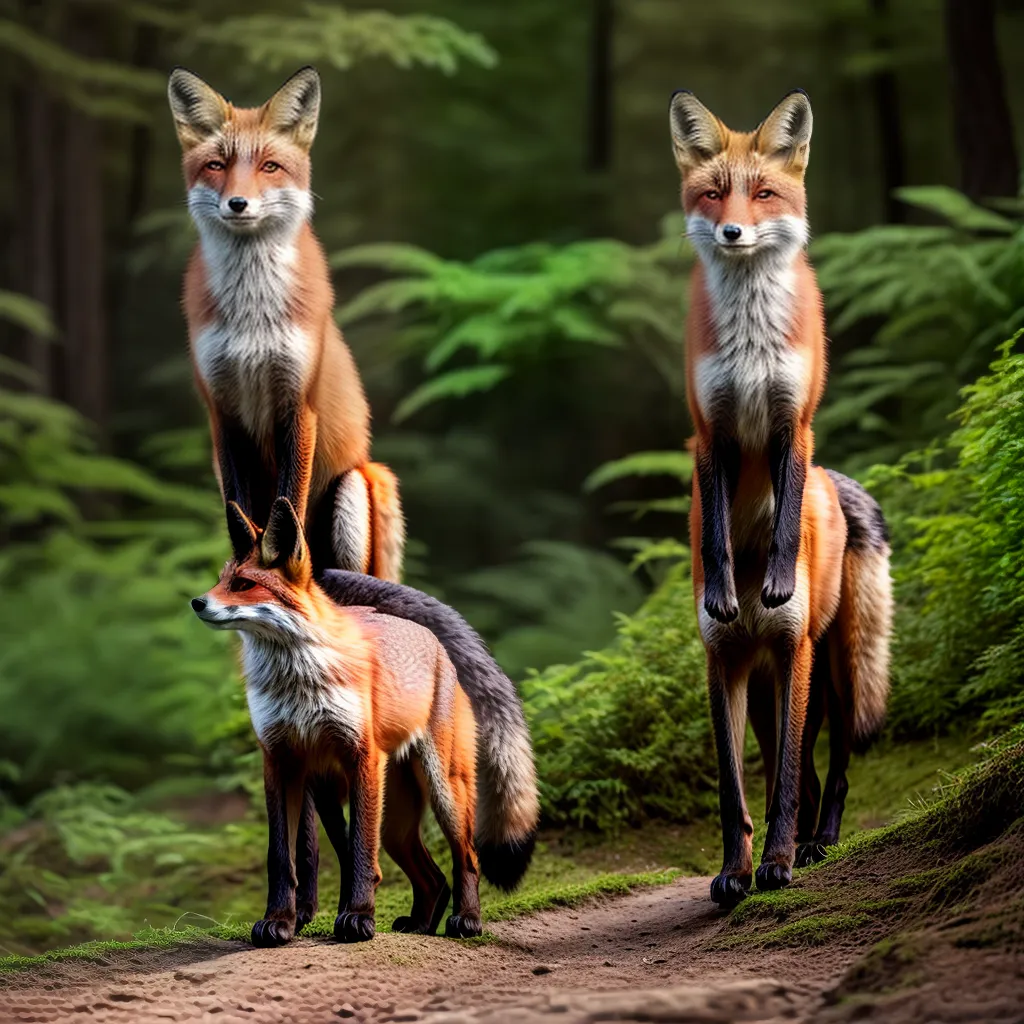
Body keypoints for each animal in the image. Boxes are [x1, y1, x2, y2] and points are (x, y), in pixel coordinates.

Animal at [167, 66, 403, 581]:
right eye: (216, 165)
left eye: (269, 167)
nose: (237, 203)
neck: (252, 317)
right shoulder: (221, 407)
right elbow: (238, 508)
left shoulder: (298, 400)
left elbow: (287, 500)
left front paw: (278, 565)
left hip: (354, 489)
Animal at [192, 496, 538, 946]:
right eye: (221, 580)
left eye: (242, 585)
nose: (197, 602)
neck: (298, 684)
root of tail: (431, 640)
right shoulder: (280, 760)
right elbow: (281, 859)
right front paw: (279, 921)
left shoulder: (360, 756)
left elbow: (358, 852)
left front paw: (357, 918)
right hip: (386, 821)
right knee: (432, 877)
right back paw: (421, 924)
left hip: (443, 789)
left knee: (467, 858)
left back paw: (466, 920)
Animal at [669, 89, 893, 906]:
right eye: (714, 193)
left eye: (763, 193)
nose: (733, 232)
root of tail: (844, 486)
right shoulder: (710, 433)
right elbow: (736, 790)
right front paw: (737, 871)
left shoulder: (793, 423)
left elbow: (789, 780)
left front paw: (779, 865)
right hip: (771, 681)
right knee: (792, 765)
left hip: (831, 666)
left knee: (834, 766)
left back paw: (821, 841)